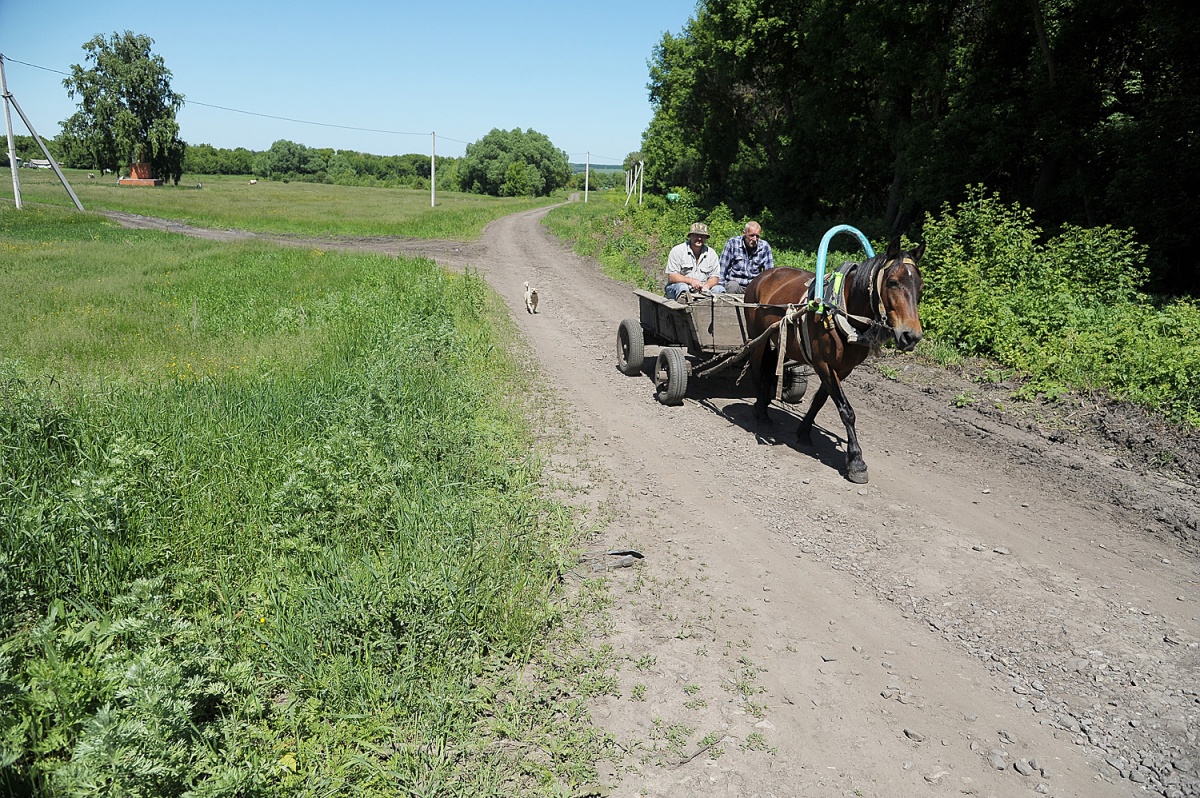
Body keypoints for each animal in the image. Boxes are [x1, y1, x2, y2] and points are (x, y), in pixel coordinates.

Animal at [739, 240, 926, 482]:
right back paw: (761, 411)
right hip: (757, 337)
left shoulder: (843, 369)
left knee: (770, 368)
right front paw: (856, 461)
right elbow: (847, 411)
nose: (911, 336)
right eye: (893, 282)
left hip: (779, 338)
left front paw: (804, 432)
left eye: (920, 287)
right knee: (756, 368)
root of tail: (763, 275)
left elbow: (820, 400)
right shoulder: (824, 365)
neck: (843, 311)